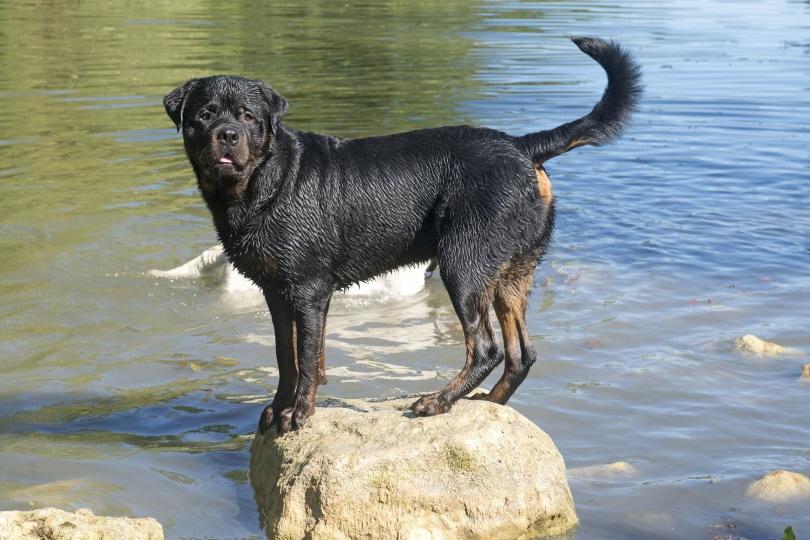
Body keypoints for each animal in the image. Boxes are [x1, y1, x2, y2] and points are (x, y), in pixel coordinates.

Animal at [164, 37, 640, 434]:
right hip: (513, 270)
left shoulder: (309, 291)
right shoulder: (276, 292)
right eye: (205, 114)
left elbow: (309, 358)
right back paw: (489, 403)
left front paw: (298, 414)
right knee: (522, 353)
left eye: (247, 116)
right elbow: (286, 356)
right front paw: (276, 409)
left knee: (486, 348)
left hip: (464, 264)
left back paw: (439, 401)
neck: (263, 184)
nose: (227, 134)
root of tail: (522, 146)